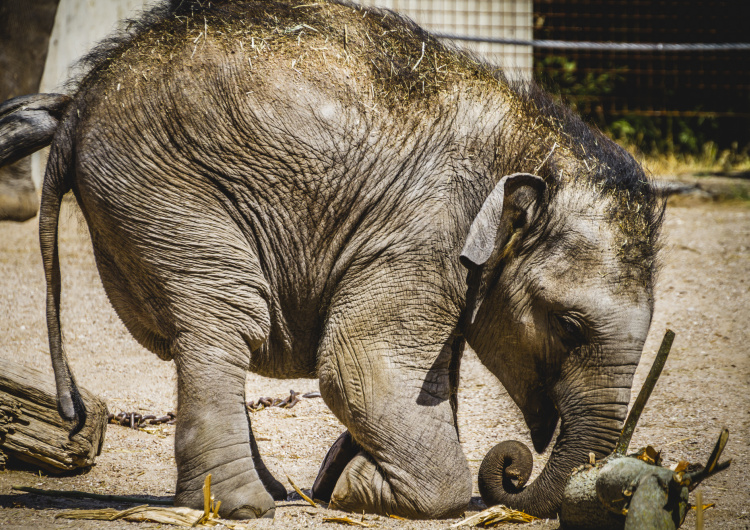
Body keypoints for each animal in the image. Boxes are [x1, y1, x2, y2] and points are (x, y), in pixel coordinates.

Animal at [8, 0, 664, 520]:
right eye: (569, 325)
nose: (509, 469)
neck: (530, 145)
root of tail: (82, 96)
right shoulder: (423, 230)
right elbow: (359, 367)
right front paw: (353, 489)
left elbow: (424, 375)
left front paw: (344, 474)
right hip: (165, 192)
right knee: (227, 320)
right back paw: (248, 507)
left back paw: (279, 493)